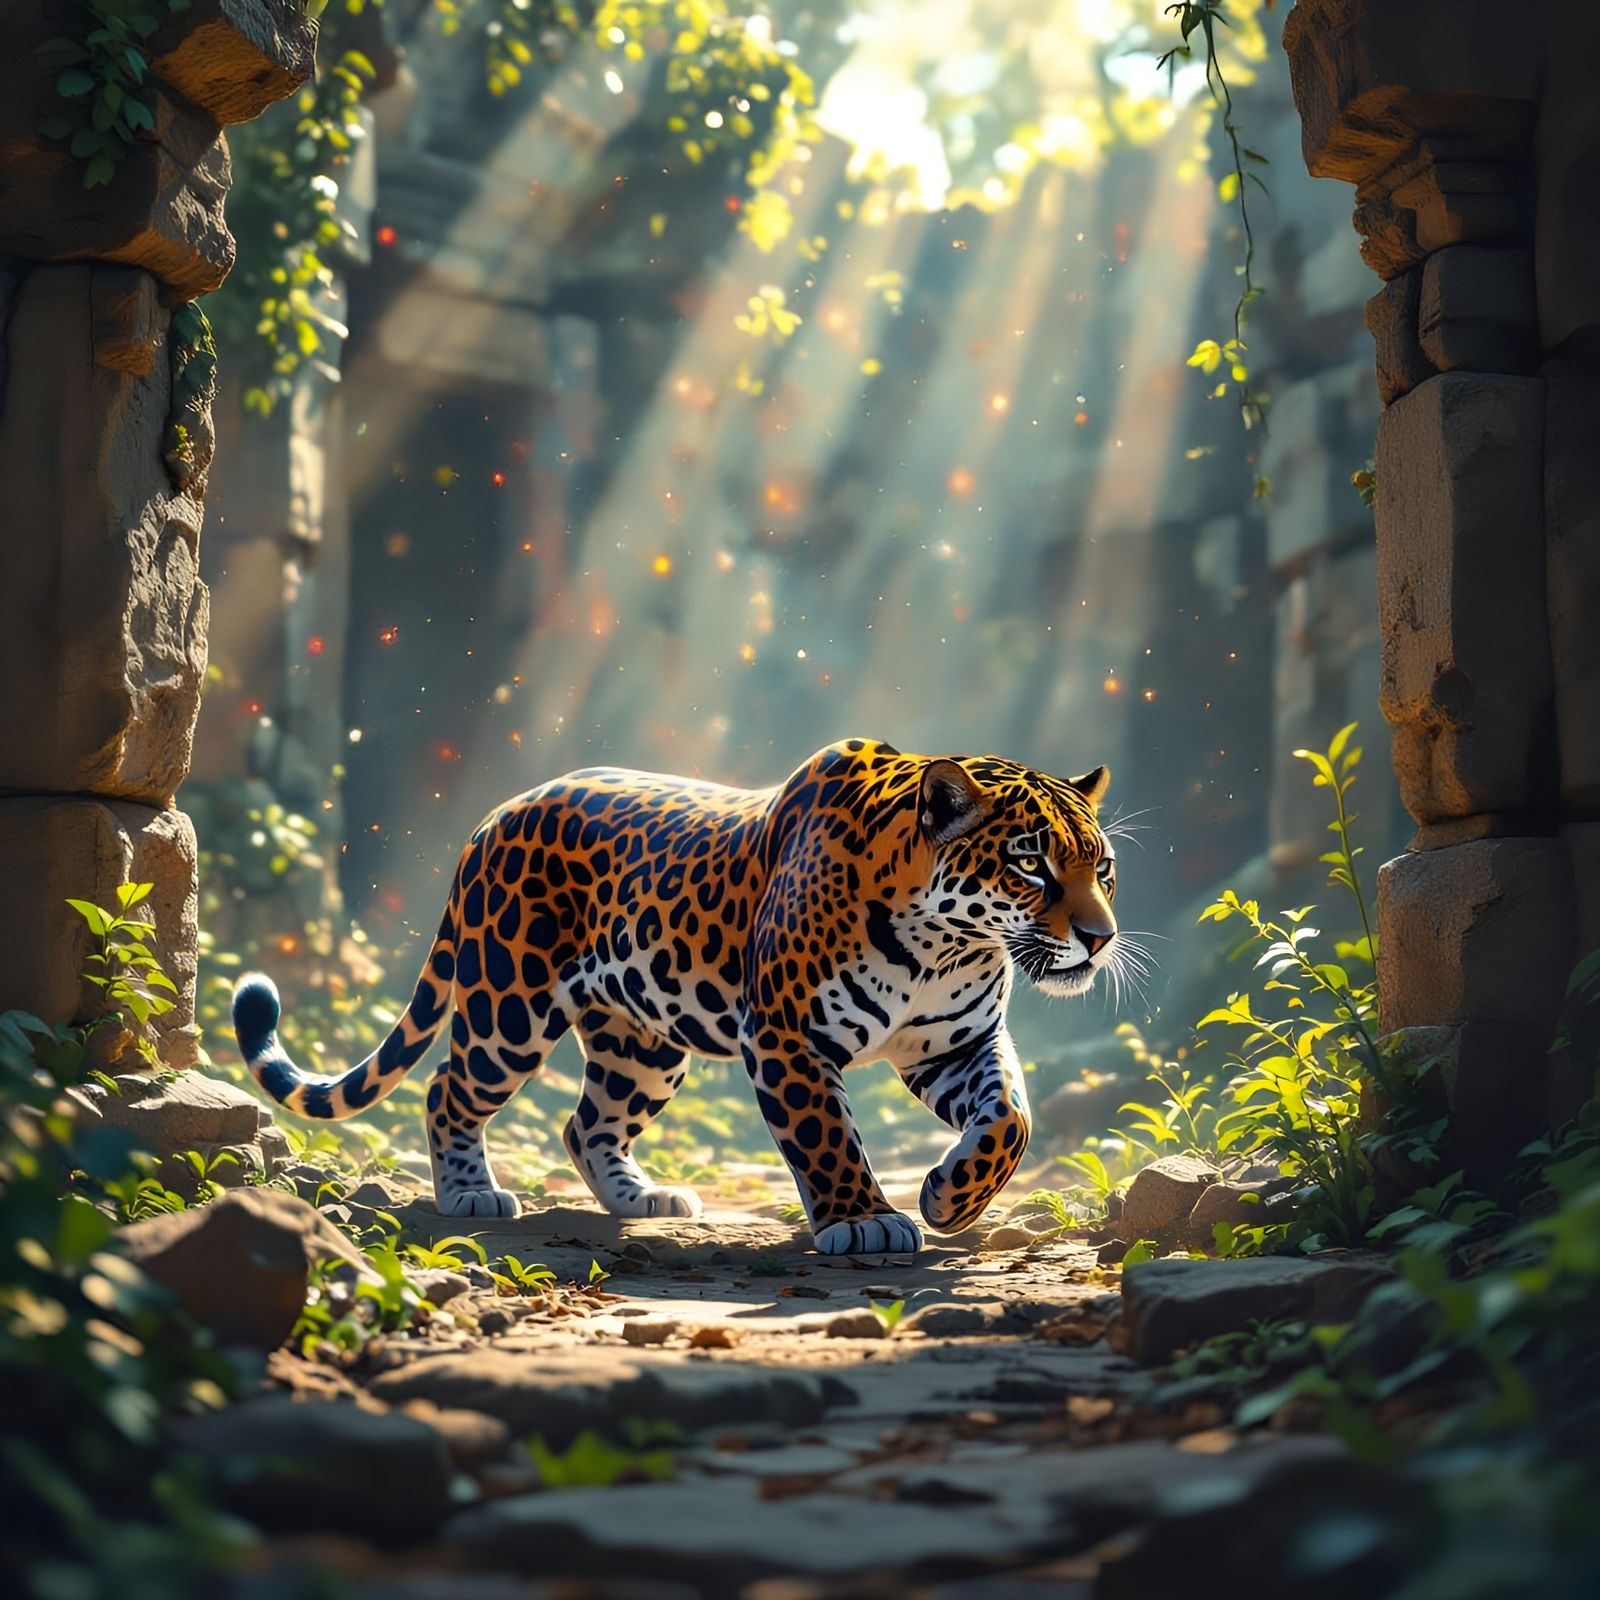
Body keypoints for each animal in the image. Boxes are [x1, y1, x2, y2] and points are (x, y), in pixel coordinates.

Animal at [231, 738, 1125, 1255]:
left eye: (1103, 867)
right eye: (1031, 865)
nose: (1100, 937)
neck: (946, 943)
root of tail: (495, 815)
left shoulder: (957, 1044)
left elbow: (1010, 1120)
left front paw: (951, 1197)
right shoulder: (786, 1036)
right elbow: (826, 1133)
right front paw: (862, 1220)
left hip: (644, 1045)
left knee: (586, 1121)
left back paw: (641, 1200)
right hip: (508, 1006)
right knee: (450, 1088)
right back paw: (468, 1194)